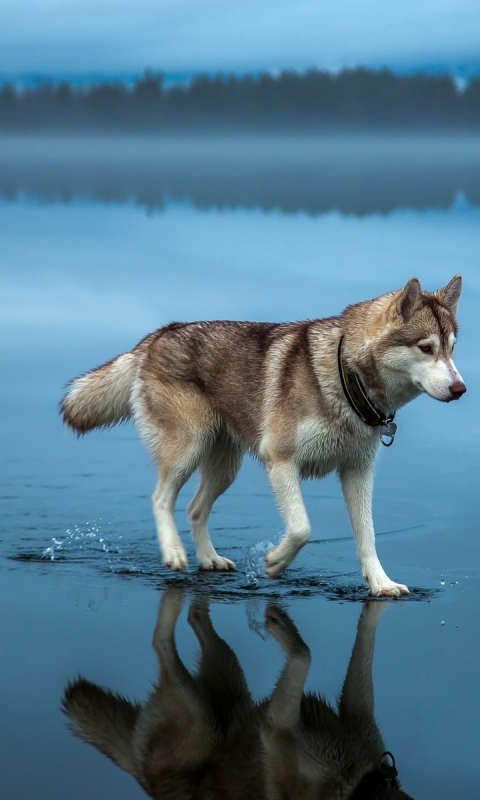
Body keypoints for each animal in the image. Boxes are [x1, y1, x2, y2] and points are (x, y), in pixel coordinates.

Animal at [61, 276, 464, 592]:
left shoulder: (357, 472)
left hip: (225, 467)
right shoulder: (280, 461)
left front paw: (381, 585)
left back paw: (209, 559)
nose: (461, 389)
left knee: (194, 509)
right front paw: (274, 562)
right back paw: (174, 553)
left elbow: (367, 536)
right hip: (188, 449)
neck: (347, 379)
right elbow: (302, 528)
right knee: (161, 498)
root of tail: (160, 333)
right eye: (426, 348)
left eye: (452, 349)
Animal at [62, 592, 414, 796]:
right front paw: (279, 625)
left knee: (194, 618)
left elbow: (365, 640)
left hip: (229, 676)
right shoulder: (278, 727)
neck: (361, 785)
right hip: (202, 715)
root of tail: (141, 777)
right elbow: (305, 654)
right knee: (160, 642)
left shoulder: (356, 710)